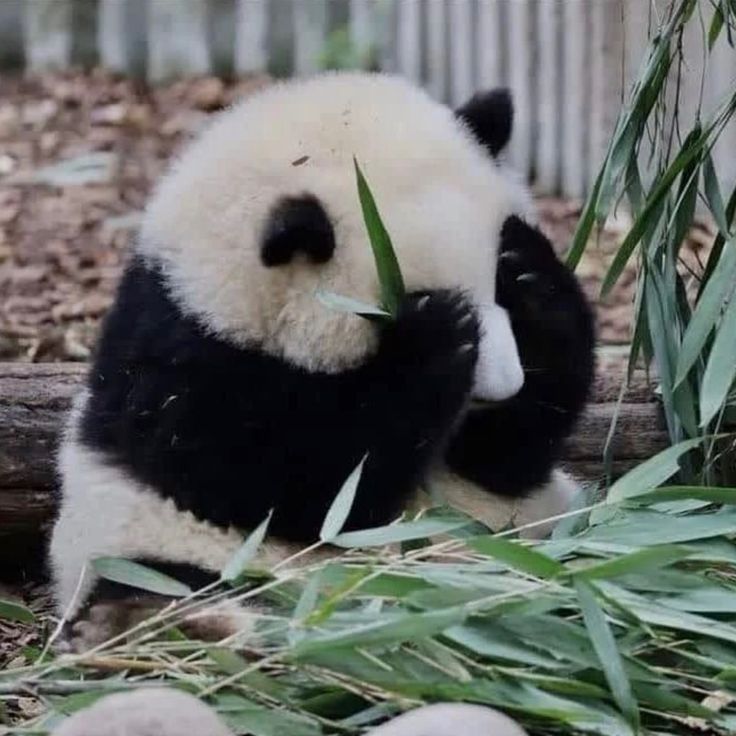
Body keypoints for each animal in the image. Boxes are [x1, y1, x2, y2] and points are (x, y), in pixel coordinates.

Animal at [47, 73, 600, 648]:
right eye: (406, 300)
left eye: (497, 288)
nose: (502, 388)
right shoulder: (188, 369)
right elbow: (297, 485)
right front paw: (434, 340)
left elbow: (510, 450)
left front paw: (530, 272)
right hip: (164, 551)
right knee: (163, 590)